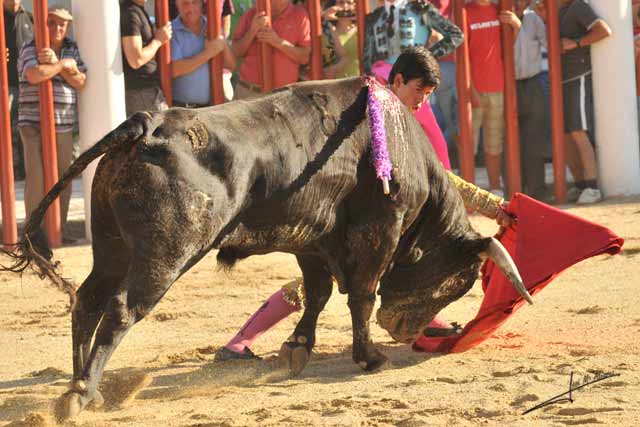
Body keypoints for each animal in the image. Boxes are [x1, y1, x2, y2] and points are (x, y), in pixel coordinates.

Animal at [1, 77, 500, 422]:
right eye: (459, 280)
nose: (405, 330)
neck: (399, 143)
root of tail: (147, 124)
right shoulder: (379, 229)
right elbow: (360, 294)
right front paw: (371, 357)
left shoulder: (311, 238)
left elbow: (316, 293)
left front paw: (297, 347)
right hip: (167, 254)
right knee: (122, 308)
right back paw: (83, 395)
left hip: (111, 247)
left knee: (87, 301)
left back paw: (80, 387)